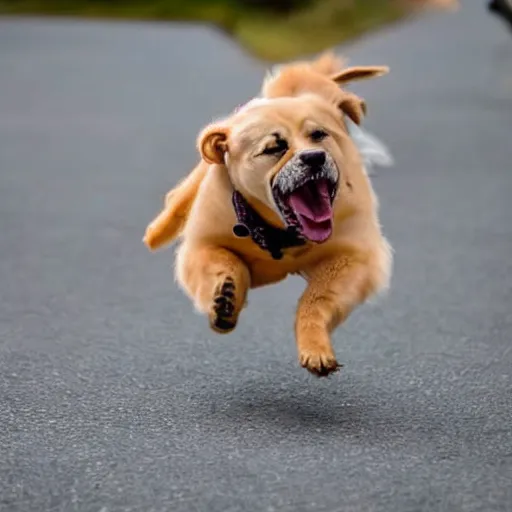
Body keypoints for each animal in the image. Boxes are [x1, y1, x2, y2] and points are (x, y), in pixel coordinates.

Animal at [164, 93, 392, 376]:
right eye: (274, 148)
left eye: (318, 134)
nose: (314, 157)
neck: (283, 234)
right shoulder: (202, 244)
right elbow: (225, 261)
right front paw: (225, 301)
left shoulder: (354, 257)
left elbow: (316, 299)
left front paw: (316, 349)